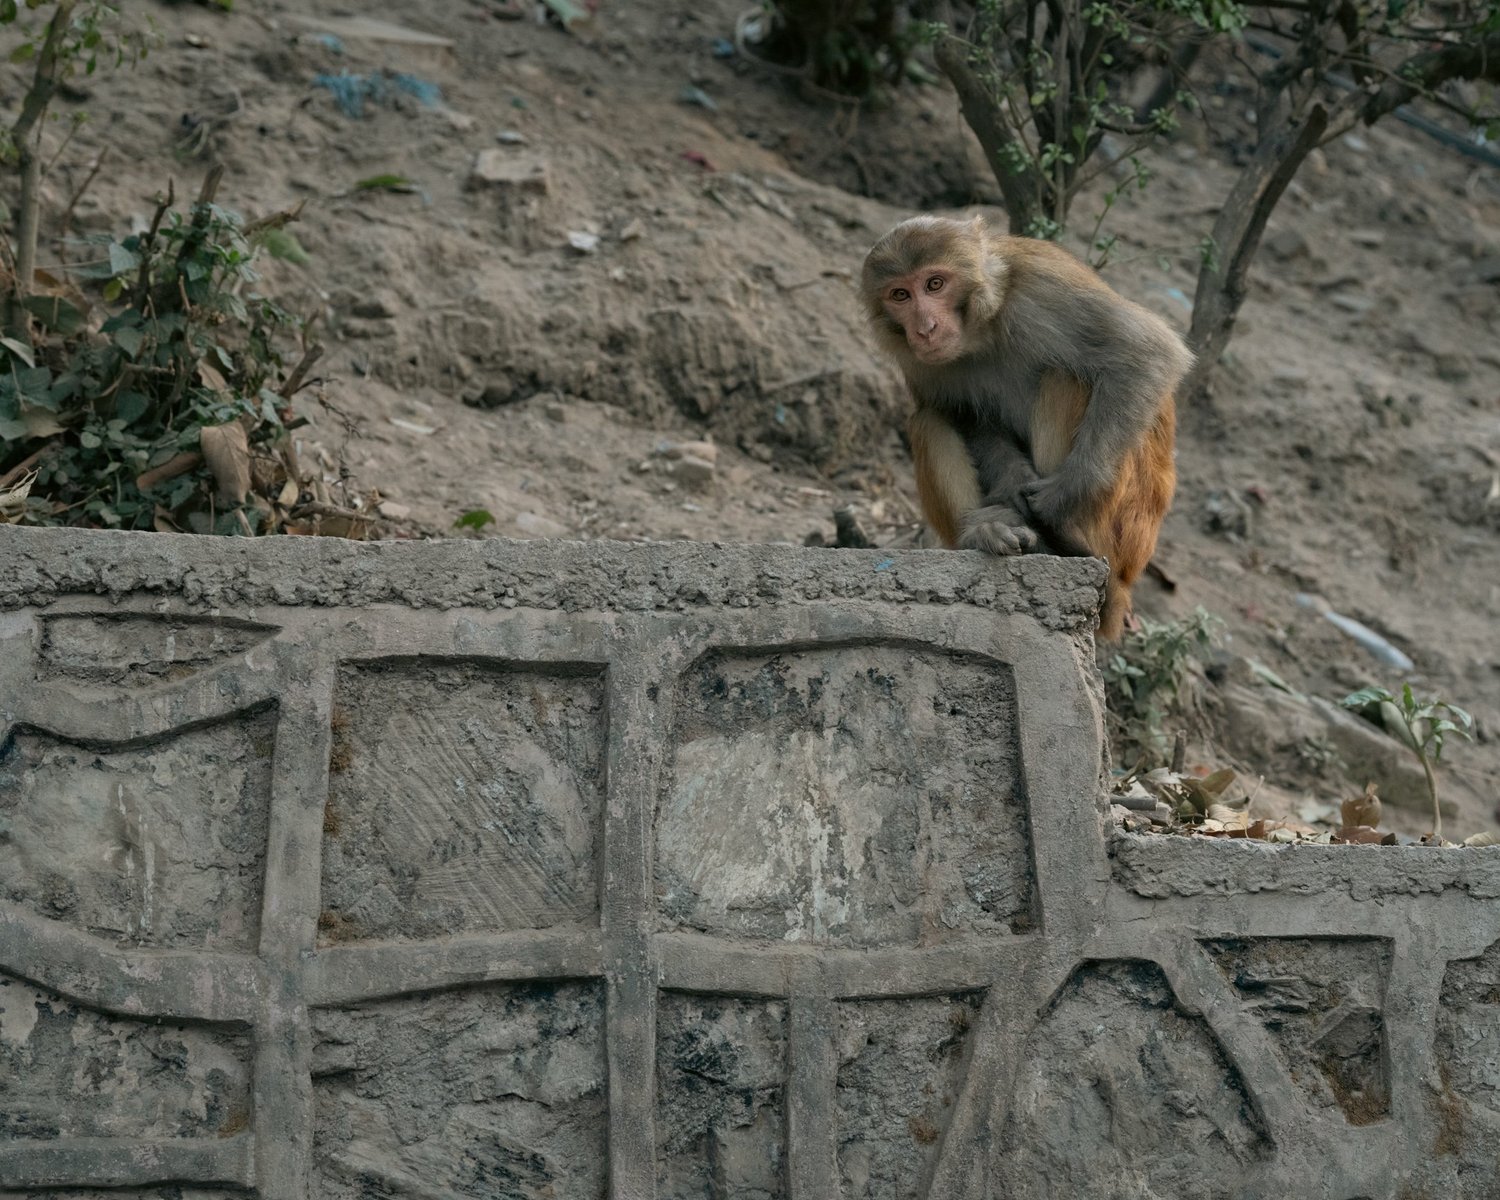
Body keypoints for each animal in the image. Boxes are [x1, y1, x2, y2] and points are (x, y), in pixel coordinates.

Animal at [861, 214, 1191, 640]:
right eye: (900, 294)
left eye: (935, 284)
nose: (926, 328)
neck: (983, 330)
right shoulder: (918, 361)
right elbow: (962, 414)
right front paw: (1010, 481)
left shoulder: (1044, 289)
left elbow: (1148, 352)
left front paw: (1069, 490)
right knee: (929, 419)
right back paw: (983, 532)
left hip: (1124, 529)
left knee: (1067, 378)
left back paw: (1065, 542)